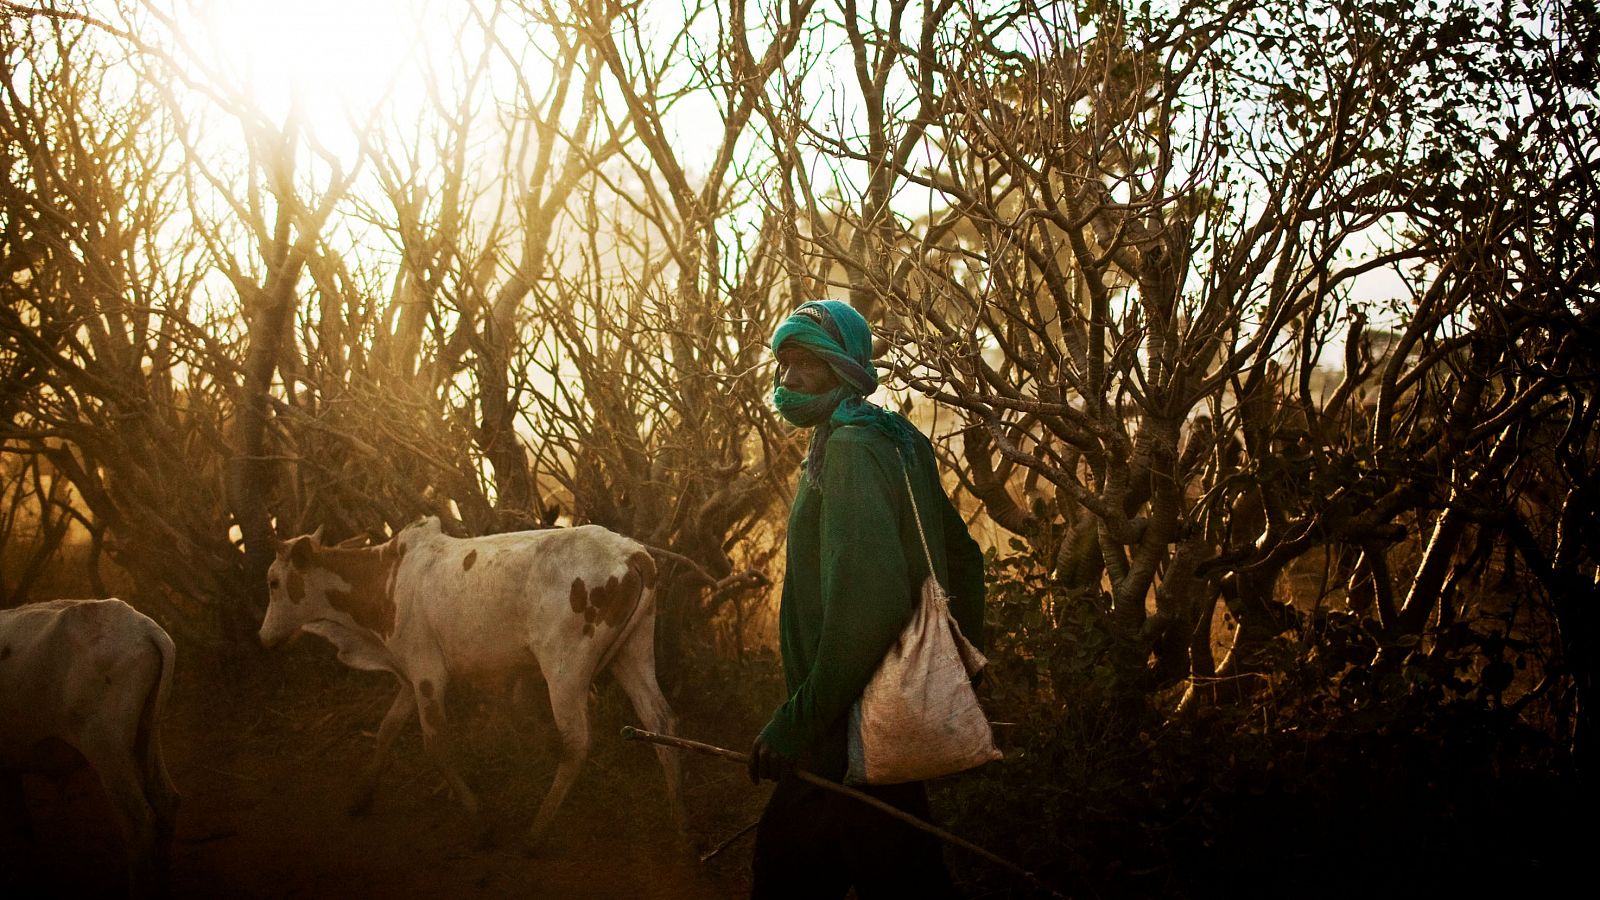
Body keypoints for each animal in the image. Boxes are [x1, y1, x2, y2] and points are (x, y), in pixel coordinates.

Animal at [0, 592, 181, 890]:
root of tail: (144, 628)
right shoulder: (9, 769)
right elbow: (20, 829)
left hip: (107, 750)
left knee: (139, 821)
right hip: (147, 739)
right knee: (167, 802)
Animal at [259, 515, 684, 845]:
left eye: (273, 582)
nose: (264, 638)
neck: (385, 582)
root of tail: (633, 554)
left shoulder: (428, 674)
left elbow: (435, 746)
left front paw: (481, 824)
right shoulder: (410, 675)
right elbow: (386, 729)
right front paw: (361, 798)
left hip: (564, 670)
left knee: (576, 743)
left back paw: (537, 832)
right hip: (633, 652)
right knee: (662, 724)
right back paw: (681, 825)